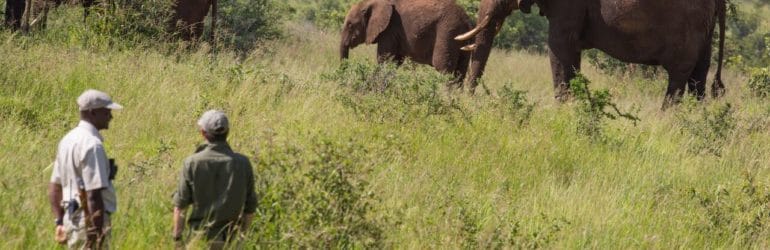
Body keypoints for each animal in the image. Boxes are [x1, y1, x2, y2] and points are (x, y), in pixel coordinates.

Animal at [340, 0, 476, 86]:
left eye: (350, 25)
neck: (370, 2)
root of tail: (467, 20)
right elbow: (394, 62)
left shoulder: (389, 30)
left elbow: (385, 61)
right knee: (460, 72)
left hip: (448, 33)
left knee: (444, 69)